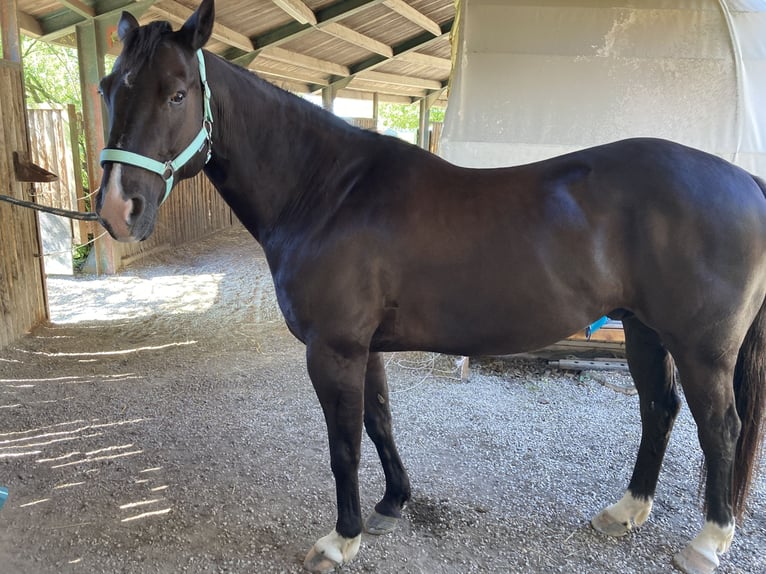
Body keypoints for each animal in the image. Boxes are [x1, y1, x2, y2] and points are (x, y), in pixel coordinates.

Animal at [95, 1, 765, 572]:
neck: (329, 192)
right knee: (659, 410)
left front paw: (341, 539)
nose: (117, 209)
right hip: (645, 331)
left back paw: (706, 543)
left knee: (719, 428)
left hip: (700, 348)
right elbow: (379, 422)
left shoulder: (333, 349)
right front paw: (392, 503)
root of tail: (748, 184)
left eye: (177, 92)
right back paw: (625, 512)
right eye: (107, 89)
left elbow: (344, 443)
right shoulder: (363, 348)